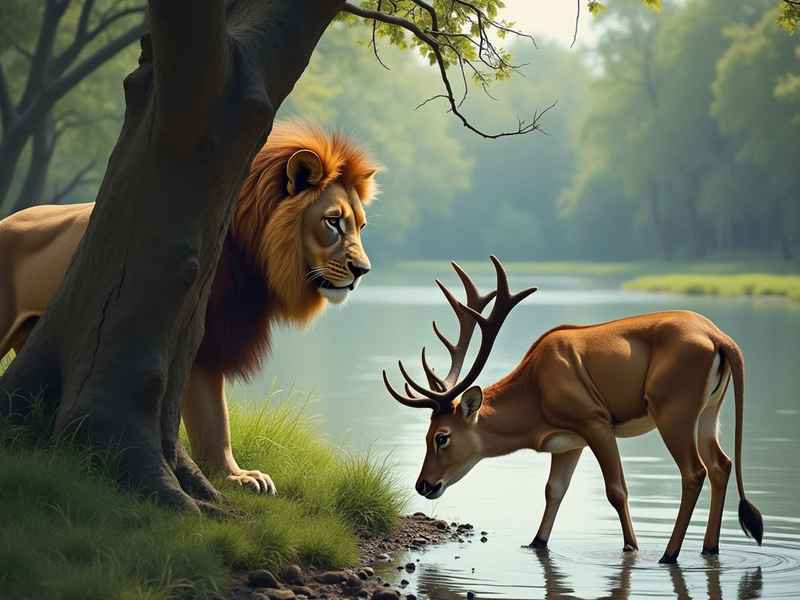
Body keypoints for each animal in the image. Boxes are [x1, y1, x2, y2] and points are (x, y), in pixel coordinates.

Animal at [383, 257, 763, 564]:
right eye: (427, 435)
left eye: (441, 437)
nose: (423, 484)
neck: (535, 397)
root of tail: (720, 338)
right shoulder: (568, 442)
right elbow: (554, 490)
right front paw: (536, 542)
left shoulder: (594, 420)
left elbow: (617, 490)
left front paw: (632, 547)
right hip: (709, 410)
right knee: (721, 464)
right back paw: (709, 548)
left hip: (673, 409)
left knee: (694, 472)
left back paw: (669, 554)